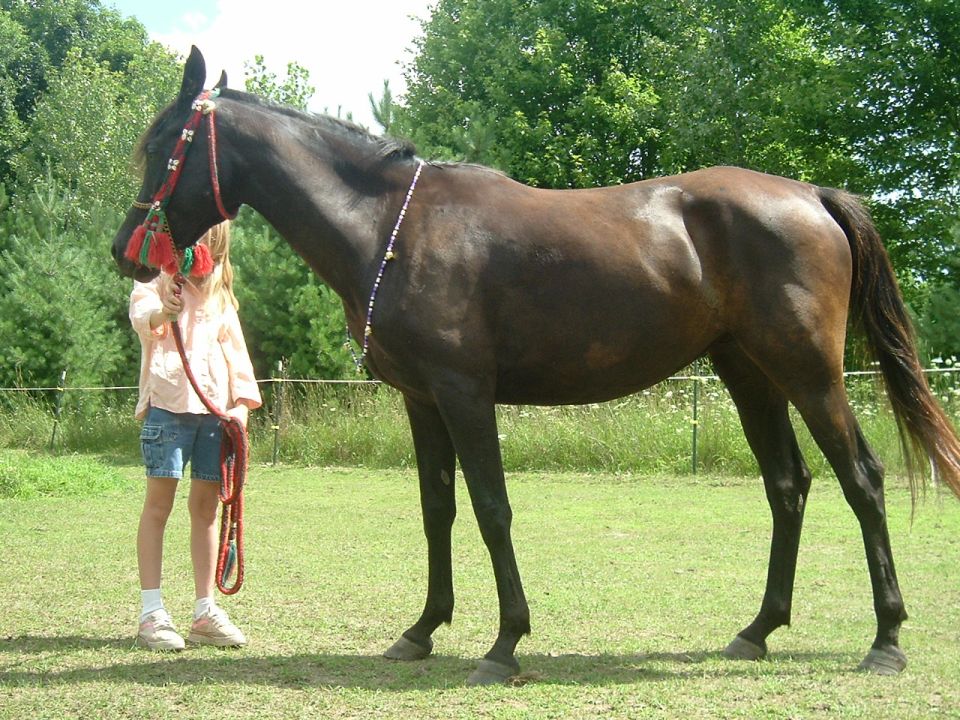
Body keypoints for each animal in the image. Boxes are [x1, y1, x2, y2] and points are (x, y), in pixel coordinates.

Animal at [112, 47, 960, 685]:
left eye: (160, 148)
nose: (128, 252)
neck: (392, 228)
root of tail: (812, 196)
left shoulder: (464, 393)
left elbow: (492, 509)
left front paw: (504, 644)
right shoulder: (423, 400)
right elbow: (438, 510)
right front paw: (422, 630)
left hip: (808, 375)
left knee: (863, 481)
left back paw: (885, 641)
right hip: (748, 374)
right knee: (788, 487)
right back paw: (757, 630)